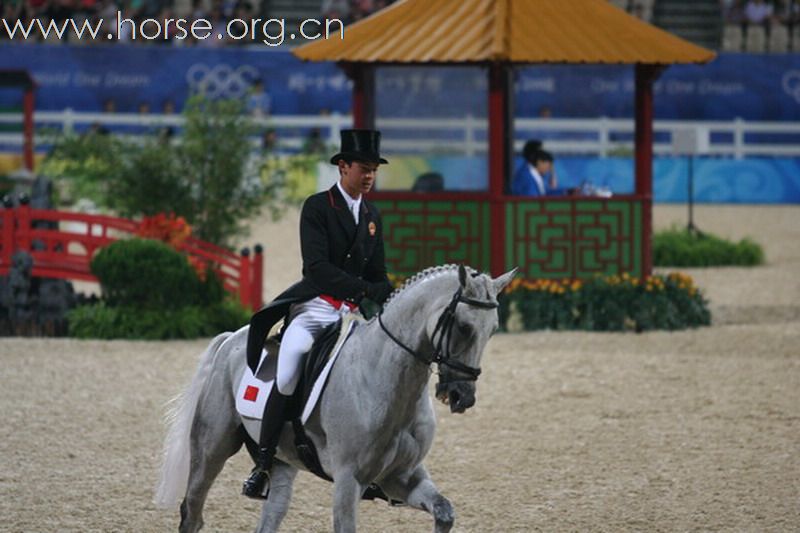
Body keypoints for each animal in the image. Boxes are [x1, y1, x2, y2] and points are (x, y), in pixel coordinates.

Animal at [155, 264, 520, 528]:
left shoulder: (402, 477)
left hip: (283, 462)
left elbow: (445, 513)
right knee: (192, 512)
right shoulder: (348, 481)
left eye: (493, 330)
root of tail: (233, 338)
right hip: (212, 447)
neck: (387, 385)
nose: (462, 396)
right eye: (463, 327)